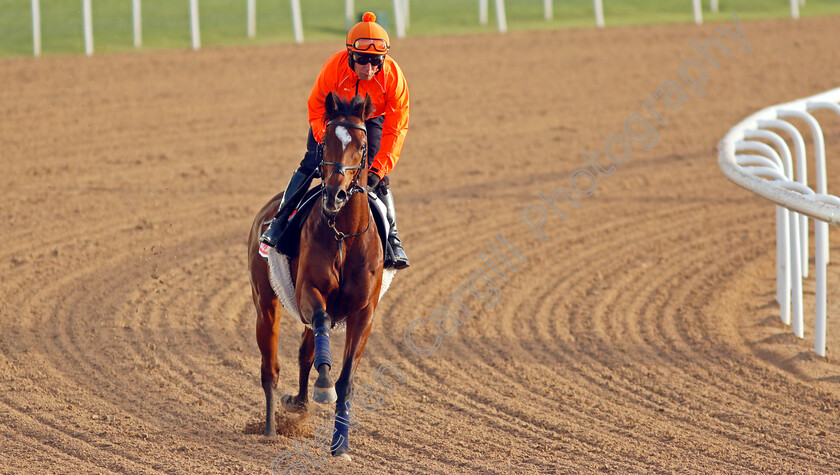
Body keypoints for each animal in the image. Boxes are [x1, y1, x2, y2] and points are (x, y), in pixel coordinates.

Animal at [246, 91, 384, 460]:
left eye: (363, 146)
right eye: (326, 141)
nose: (335, 194)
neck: (344, 235)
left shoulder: (363, 312)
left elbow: (346, 379)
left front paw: (341, 445)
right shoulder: (310, 290)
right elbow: (320, 321)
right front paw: (323, 386)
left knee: (305, 351)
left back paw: (300, 403)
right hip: (266, 305)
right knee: (270, 369)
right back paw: (270, 429)